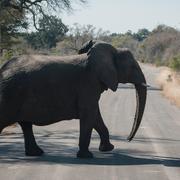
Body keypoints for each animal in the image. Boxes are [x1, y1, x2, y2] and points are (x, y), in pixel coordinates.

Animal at [0, 40, 146, 158]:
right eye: (133, 67)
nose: (128, 139)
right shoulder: (88, 83)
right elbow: (89, 114)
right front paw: (87, 156)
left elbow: (95, 116)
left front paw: (107, 149)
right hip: (9, 94)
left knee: (26, 124)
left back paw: (36, 153)